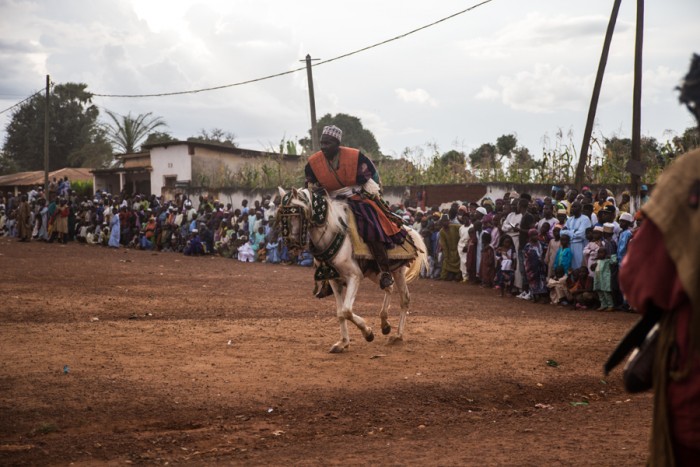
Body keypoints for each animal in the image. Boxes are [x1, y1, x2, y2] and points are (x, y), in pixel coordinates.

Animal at [278, 186, 430, 354]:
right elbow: (340, 313)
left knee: (404, 298)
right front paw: (343, 342)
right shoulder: (334, 280)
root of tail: (406, 229)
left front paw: (368, 333)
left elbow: (346, 310)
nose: (291, 244)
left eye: (297, 214)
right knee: (388, 287)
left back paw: (397, 336)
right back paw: (385, 324)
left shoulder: (354, 277)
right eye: (282, 215)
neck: (332, 231)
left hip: (397, 270)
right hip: (374, 271)